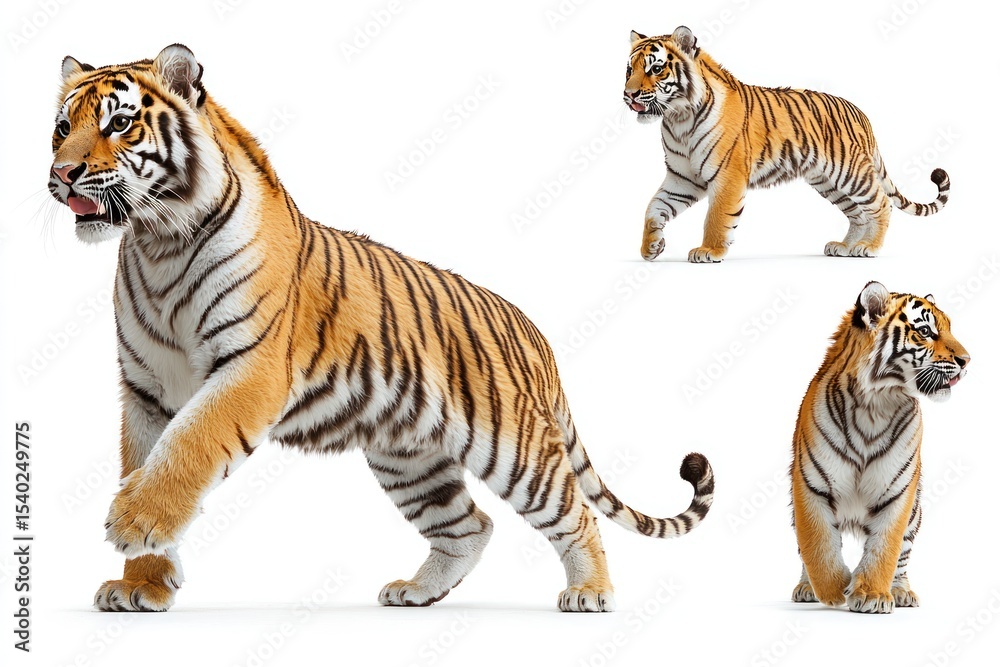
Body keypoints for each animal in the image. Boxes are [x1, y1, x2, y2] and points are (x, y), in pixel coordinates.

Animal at [49, 45, 715, 613]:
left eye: (119, 124)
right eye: (60, 127)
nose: (63, 174)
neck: (158, 242)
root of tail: (532, 330)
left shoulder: (251, 368)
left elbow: (189, 445)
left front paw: (132, 524)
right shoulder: (147, 388)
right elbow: (145, 457)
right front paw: (144, 583)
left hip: (514, 446)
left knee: (573, 511)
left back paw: (590, 591)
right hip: (409, 457)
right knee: (470, 525)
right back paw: (418, 592)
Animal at [624, 27, 951, 263]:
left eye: (655, 69)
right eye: (629, 70)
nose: (629, 95)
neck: (678, 118)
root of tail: (861, 114)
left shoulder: (727, 176)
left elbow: (716, 217)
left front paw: (709, 251)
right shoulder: (683, 178)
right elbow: (654, 207)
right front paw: (650, 246)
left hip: (851, 172)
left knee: (881, 204)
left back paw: (869, 247)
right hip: (828, 181)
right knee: (858, 214)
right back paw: (845, 247)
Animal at [790, 281, 969, 613]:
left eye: (949, 328)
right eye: (925, 331)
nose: (967, 361)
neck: (877, 404)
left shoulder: (898, 491)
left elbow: (885, 546)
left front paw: (872, 594)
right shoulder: (811, 486)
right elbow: (819, 544)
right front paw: (833, 589)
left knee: (903, 555)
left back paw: (901, 592)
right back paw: (807, 588)